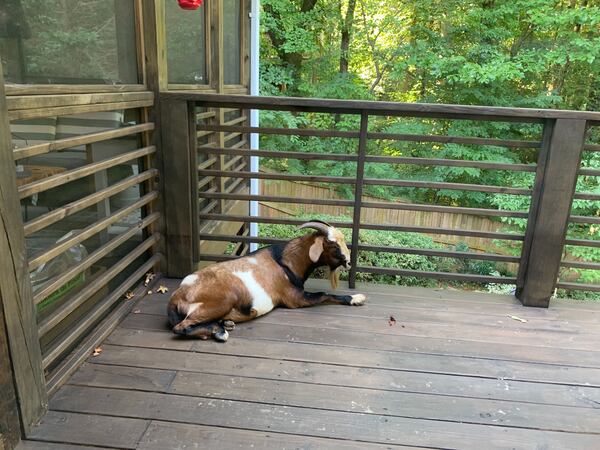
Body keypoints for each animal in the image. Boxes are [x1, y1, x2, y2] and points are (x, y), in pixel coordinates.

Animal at [166, 221, 368, 342]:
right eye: (333, 245)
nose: (349, 263)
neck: (284, 261)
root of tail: (177, 297)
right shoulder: (295, 298)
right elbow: (324, 294)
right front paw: (356, 298)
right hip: (222, 300)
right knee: (180, 327)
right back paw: (220, 332)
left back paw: (225, 324)